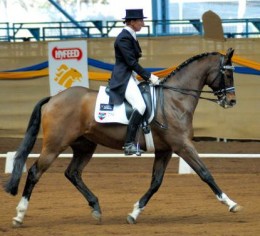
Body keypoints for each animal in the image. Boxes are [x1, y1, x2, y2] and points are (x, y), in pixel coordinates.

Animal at [3, 47, 242, 226]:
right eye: (227, 73)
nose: (231, 101)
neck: (174, 100)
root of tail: (54, 98)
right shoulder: (182, 145)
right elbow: (205, 173)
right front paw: (230, 203)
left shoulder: (165, 150)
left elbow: (156, 182)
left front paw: (134, 212)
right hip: (55, 145)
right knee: (35, 172)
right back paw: (19, 215)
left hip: (84, 146)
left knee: (73, 173)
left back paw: (96, 208)